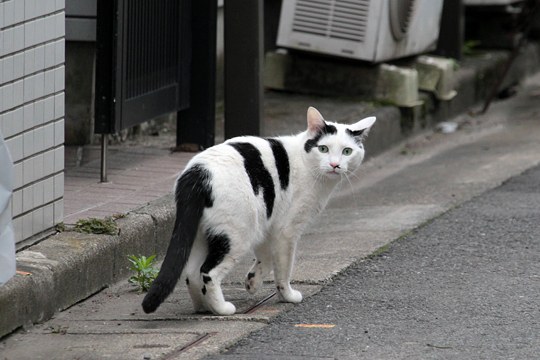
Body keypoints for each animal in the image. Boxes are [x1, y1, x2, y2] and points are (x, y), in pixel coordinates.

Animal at [142, 107, 376, 316]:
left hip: (204, 233)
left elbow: (267, 257)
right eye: (324, 149)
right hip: (236, 234)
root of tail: (197, 173)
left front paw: (253, 282)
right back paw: (221, 309)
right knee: (208, 272)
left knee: (191, 273)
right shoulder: (286, 230)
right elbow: (284, 267)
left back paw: (203, 307)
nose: (335, 165)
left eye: (347, 151)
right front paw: (287, 295)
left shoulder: (268, 223)